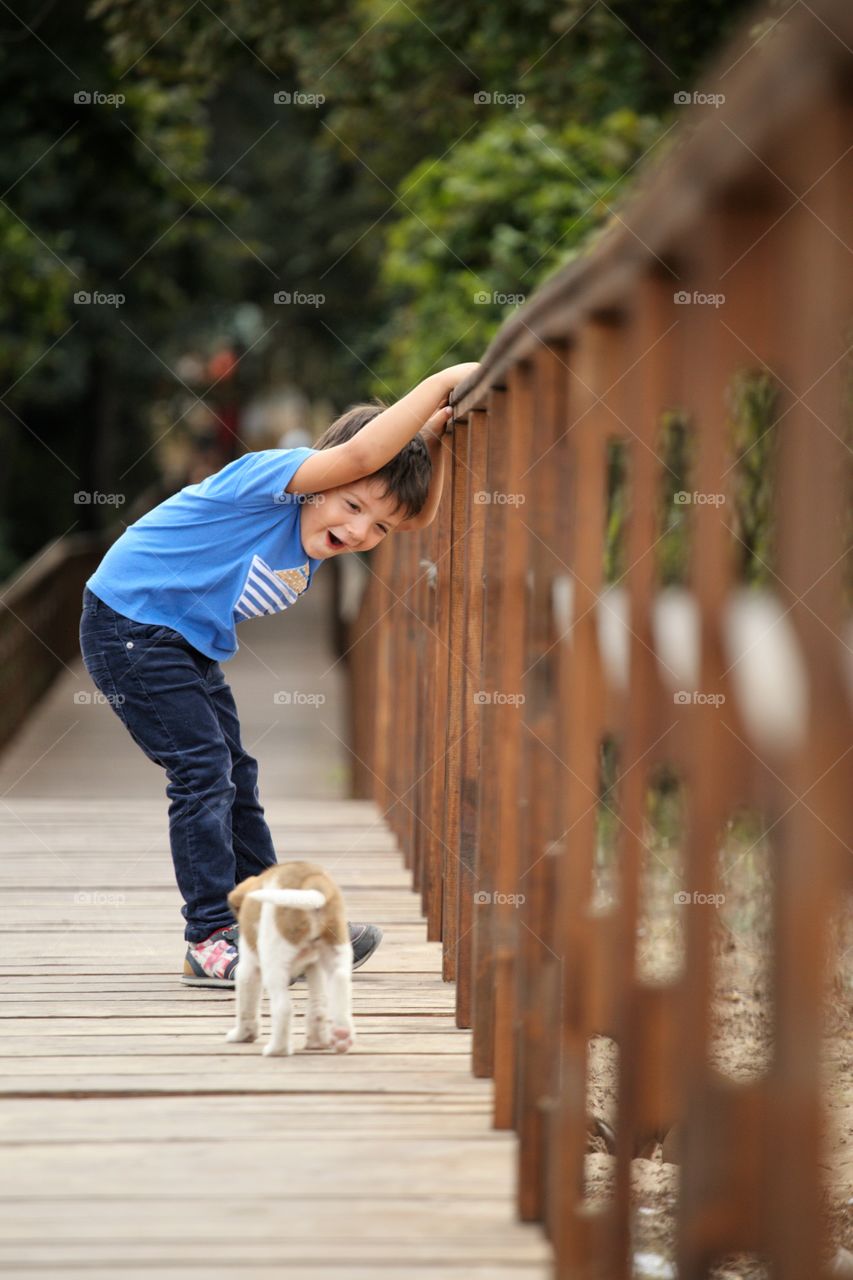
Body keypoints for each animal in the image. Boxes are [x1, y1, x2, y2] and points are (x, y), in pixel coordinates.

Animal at [224, 860, 353, 1059]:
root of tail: (311, 881)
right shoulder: (314, 966)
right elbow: (318, 1004)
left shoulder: (247, 969)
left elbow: (246, 1007)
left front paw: (242, 1035)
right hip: (336, 952)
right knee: (337, 986)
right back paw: (338, 1037)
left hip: (273, 964)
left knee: (283, 1007)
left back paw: (276, 1050)